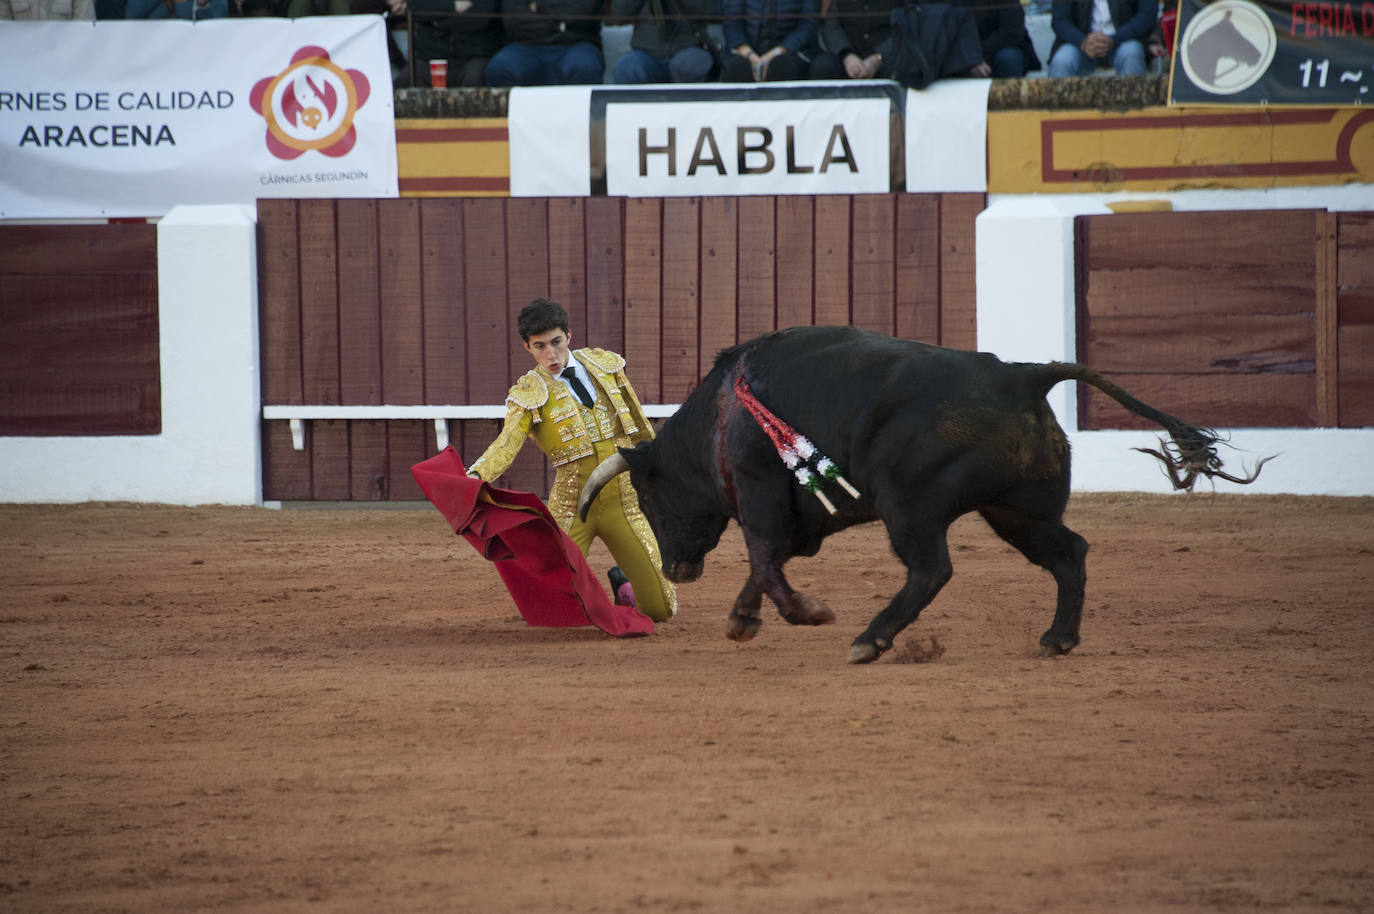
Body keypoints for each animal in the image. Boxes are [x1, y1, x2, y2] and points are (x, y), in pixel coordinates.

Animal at [577, 328, 1264, 662]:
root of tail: (1022, 376)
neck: (722, 412)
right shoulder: (804, 518)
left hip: (910, 507)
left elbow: (766, 561)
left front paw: (808, 613)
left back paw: (870, 640)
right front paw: (743, 620)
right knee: (1070, 552)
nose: (675, 569)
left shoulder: (761, 493)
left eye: (648, 495)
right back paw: (1057, 638)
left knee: (932, 569)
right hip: (1016, 511)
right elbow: (769, 564)